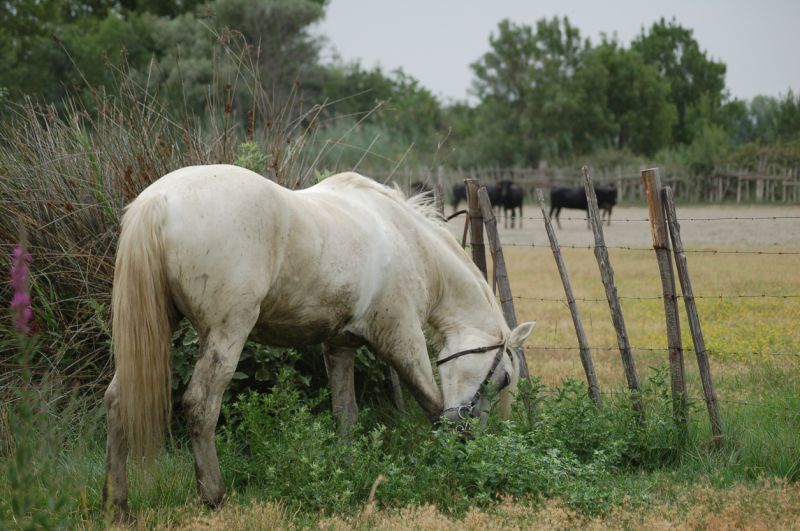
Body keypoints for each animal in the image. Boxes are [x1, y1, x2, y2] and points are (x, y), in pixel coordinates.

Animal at [103, 165, 536, 520]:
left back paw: (118, 505)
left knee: (118, 402)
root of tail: (158, 200)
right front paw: (448, 464)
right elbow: (429, 402)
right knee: (201, 405)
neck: (406, 240)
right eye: (502, 378)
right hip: (227, 334)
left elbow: (346, 414)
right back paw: (214, 496)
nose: (470, 434)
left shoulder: (340, 346)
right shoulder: (401, 337)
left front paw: (348, 470)